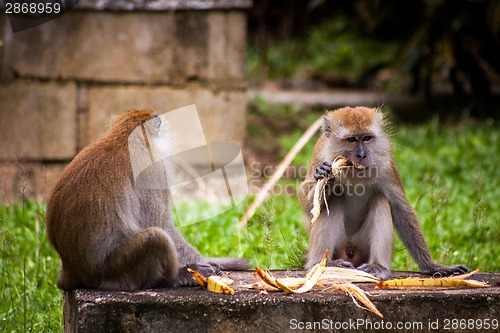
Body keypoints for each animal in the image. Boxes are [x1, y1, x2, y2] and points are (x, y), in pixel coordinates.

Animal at [46, 109, 248, 290]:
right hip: (117, 271)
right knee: (155, 237)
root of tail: (71, 270)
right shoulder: (154, 170)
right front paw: (198, 264)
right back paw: (175, 278)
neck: (124, 139)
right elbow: (159, 222)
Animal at [298, 106, 470, 278]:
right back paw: (322, 264)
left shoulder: (387, 166)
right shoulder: (320, 154)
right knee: (335, 198)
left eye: (367, 138)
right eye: (352, 140)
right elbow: (309, 205)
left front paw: (432, 266)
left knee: (379, 198)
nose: (362, 155)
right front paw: (326, 180)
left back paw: (377, 266)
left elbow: (401, 210)